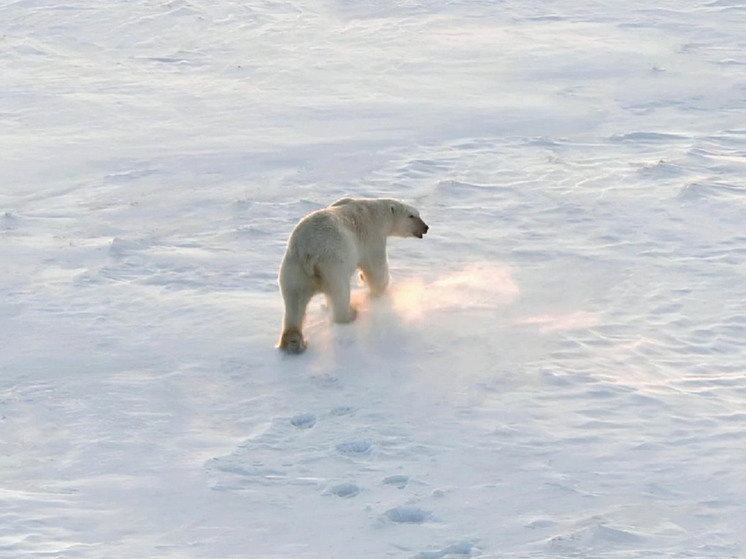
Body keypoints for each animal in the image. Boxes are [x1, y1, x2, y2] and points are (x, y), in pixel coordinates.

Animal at [274, 198, 428, 354]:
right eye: (411, 215)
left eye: (418, 214)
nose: (425, 227)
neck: (376, 212)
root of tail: (308, 253)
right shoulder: (372, 235)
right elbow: (376, 267)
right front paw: (377, 288)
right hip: (333, 263)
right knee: (340, 293)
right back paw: (350, 314)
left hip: (294, 269)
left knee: (294, 302)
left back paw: (292, 340)